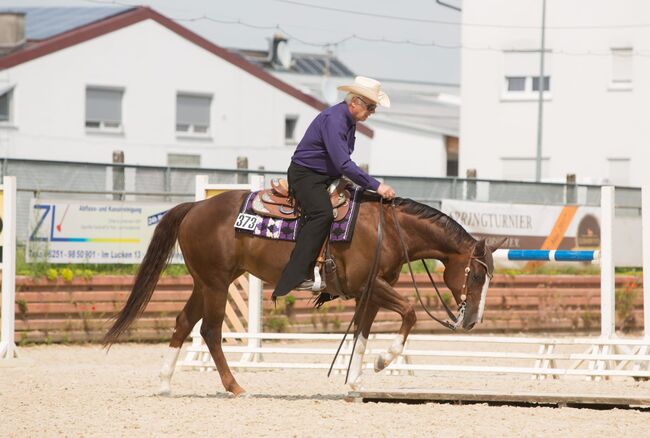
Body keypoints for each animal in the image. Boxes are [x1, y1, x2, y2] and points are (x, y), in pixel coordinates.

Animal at [102, 190, 502, 396]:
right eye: (476, 275)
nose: (472, 320)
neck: (387, 229)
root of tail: (196, 206)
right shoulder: (370, 285)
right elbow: (410, 313)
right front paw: (383, 362)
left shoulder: (371, 292)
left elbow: (361, 333)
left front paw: (354, 382)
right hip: (216, 283)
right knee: (210, 331)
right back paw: (235, 386)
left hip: (206, 282)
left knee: (184, 321)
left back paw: (164, 383)